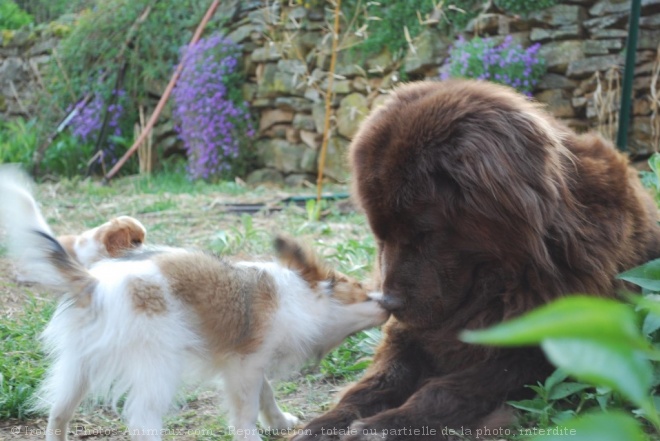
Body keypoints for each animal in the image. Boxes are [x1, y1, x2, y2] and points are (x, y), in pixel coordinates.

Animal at [0, 166, 390, 440]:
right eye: (357, 288)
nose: (390, 300)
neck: (296, 294)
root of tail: (94, 283)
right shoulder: (245, 366)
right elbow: (246, 411)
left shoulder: (245, 363)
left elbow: (266, 394)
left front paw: (280, 421)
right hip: (156, 365)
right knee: (142, 422)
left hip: (78, 365)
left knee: (58, 413)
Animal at [294, 80, 660, 440]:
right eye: (379, 236)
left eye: (424, 233)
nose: (390, 303)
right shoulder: (408, 334)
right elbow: (378, 380)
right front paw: (324, 425)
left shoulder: (542, 347)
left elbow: (449, 388)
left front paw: (381, 427)